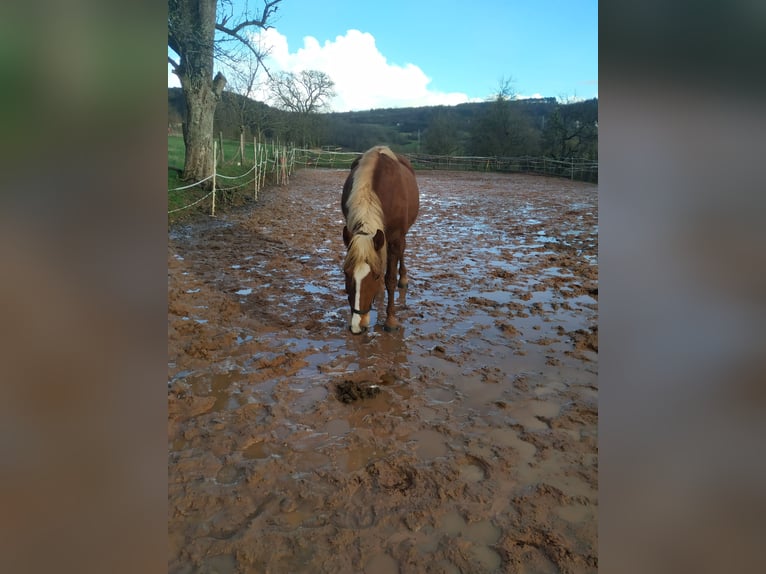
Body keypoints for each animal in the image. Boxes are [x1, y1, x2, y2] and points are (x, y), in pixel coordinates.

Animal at [342, 146, 420, 336]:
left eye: (375, 276)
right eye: (346, 273)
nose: (357, 325)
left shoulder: (396, 238)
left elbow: (390, 279)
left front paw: (390, 320)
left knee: (402, 254)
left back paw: (403, 279)